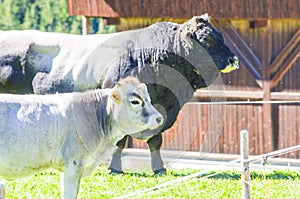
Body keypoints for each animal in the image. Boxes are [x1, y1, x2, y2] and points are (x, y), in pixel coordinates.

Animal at [0, 14, 239, 175]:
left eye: (221, 35)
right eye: (206, 40)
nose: (233, 59)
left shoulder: (161, 108)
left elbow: (156, 141)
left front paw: (159, 168)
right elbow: (120, 142)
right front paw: (115, 168)